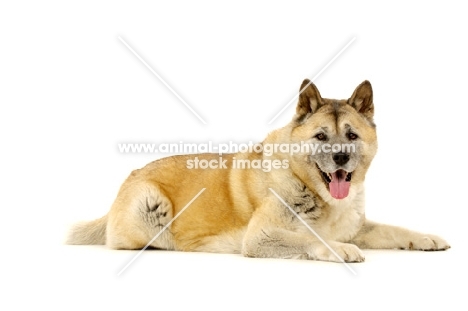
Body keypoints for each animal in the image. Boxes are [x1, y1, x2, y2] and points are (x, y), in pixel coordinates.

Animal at [66, 79, 450, 262]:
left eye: (352, 135)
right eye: (321, 136)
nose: (341, 157)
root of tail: (128, 179)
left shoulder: (359, 227)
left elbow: (394, 229)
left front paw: (426, 238)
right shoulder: (261, 236)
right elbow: (313, 237)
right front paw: (341, 250)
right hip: (151, 208)